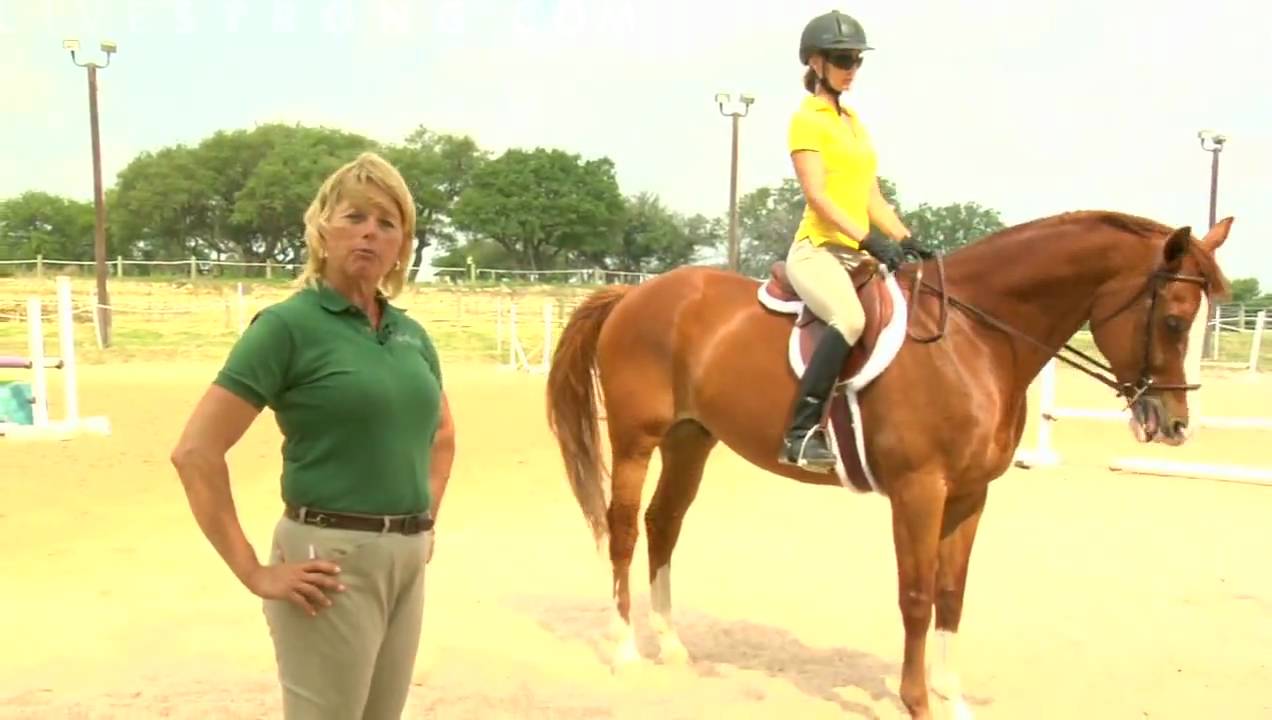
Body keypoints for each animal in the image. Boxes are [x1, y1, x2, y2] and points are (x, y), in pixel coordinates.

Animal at [544, 210, 1232, 719]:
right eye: (1175, 321)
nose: (1175, 426)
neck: (974, 340)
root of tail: (636, 293)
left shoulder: (970, 495)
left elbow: (952, 595)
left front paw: (953, 698)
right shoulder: (919, 492)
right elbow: (917, 597)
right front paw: (917, 702)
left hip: (692, 440)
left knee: (664, 525)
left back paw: (673, 646)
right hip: (637, 440)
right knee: (625, 530)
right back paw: (627, 651)